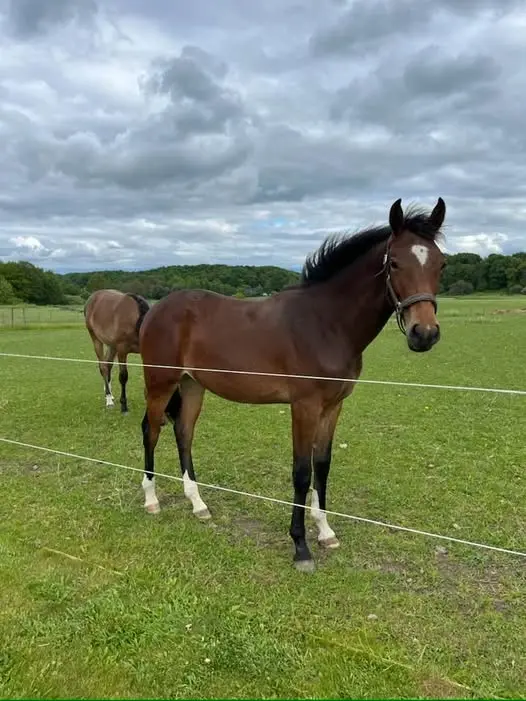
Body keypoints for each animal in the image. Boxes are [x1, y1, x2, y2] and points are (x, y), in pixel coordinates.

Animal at [138, 197, 447, 572]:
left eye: (441, 264)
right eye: (395, 262)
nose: (424, 334)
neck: (325, 323)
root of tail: (156, 309)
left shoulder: (333, 406)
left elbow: (322, 466)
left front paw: (326, 532)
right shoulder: (305, 406)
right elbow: (301, 471)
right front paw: (301, 547)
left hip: (192, 385)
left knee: (183, 432)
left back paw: (198, 505)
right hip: (160, 383)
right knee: (151, 430)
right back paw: (151, 500)